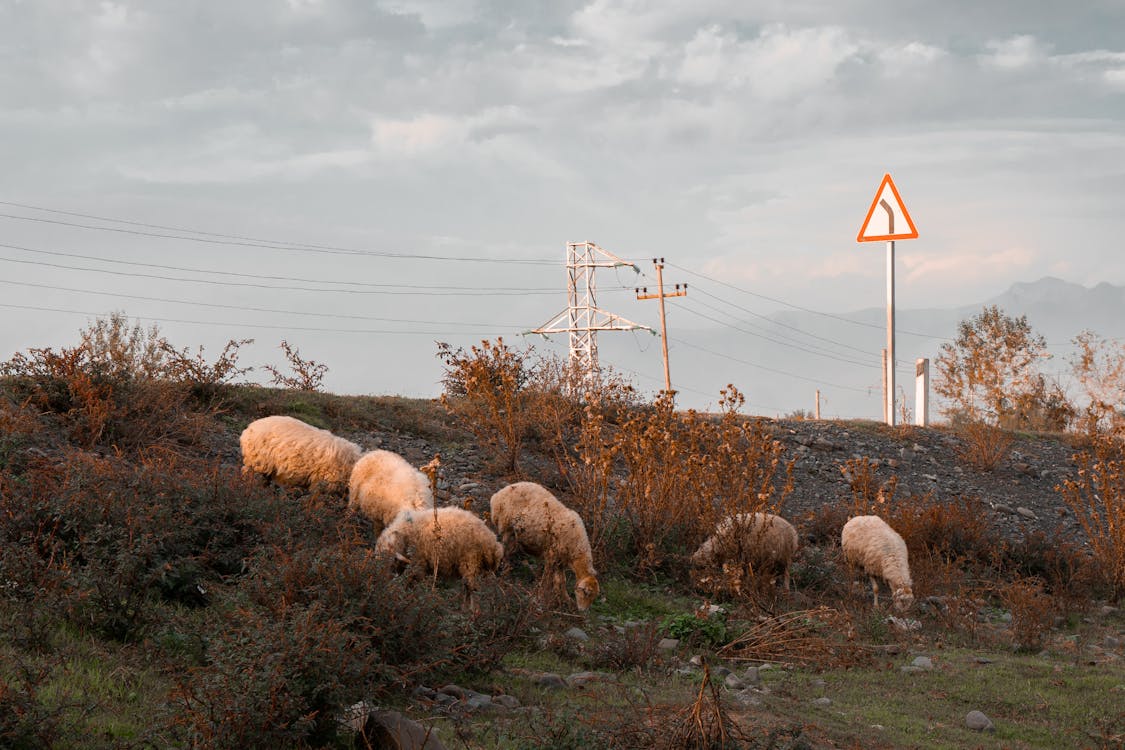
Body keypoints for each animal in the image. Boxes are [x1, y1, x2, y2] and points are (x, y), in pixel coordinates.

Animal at [375, 503, 504, 611]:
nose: (384, 584)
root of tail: (492, 542)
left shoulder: (418, 564)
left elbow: (414, 583)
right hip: (480, 568)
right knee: (470, 589)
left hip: (471, 563)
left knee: (473, 590)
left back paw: (472, 612)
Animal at [490, 483, 603, 611]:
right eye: (586, 593)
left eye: (593, 598)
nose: (583, 610)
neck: (577, 549)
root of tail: (498, 494)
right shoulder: (551, 555)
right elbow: (547, 577)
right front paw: (543, 595)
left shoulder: (560, 561)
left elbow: (561, 581)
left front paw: (565, 599)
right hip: (506, 527)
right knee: (504, 548)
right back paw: (504, 571)